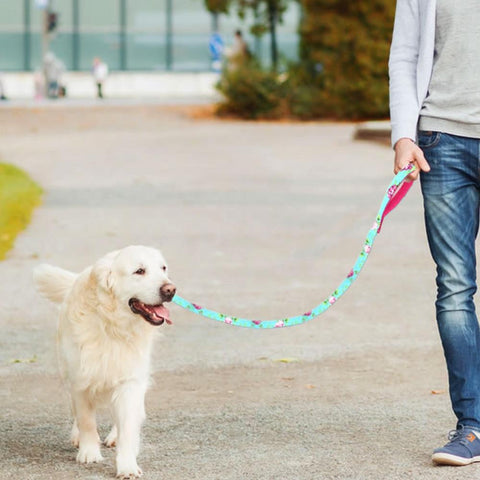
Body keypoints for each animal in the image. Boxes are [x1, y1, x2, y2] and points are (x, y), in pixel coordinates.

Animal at [33, 246, 176, 478]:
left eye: (163, 268)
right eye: (139, 271)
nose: (171, 290)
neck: (113, 325)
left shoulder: (130, 380)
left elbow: (128, 425)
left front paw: (127, 464)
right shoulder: (79, 380)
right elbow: (86, 421)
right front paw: (89, 452)